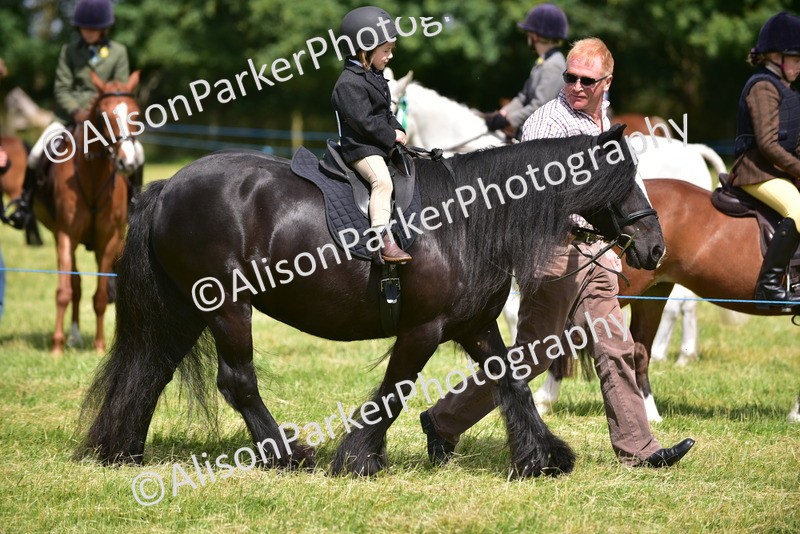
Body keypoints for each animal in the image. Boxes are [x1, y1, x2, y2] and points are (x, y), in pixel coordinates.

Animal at [34, 71, 141, 355]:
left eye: (136, 114)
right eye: (104, 116)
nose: (128, 162)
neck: (94, 175)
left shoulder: (109, 240)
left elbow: (102, 296)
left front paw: (100, 346)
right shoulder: (65, 236)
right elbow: (64, 292)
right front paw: (57, 347)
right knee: (75, 285)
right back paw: (72, 337)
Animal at [79, 124, 665, 478]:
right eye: (625, 178)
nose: (656, 246)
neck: (466, 219)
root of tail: (165, 188)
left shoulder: (474, 326)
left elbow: (511, 381)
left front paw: (542, 457)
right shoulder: (423, 330)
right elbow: (394, 394)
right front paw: (357, 458)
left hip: (184, 312)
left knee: (150, 369)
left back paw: (122, 450)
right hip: (227, 309)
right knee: (237, 382)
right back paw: (287, 454)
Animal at [536, 179, 800, 423]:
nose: (656, 248)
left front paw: (795, 414)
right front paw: (796, 415)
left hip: (653, 294)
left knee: (639, 351)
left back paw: (650, 413)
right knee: (570, 336)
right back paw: (545, 399)